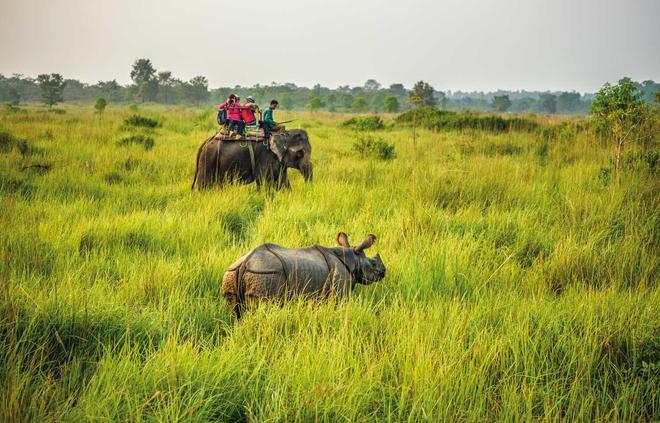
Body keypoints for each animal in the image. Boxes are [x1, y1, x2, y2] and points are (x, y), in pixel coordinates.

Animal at [223, 232, 386, 318]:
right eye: (373, 264)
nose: (384, 271)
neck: (353, 259)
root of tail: (246, 263)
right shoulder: (339, 290)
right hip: (266, 275)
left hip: (232, 273)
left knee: (235, 311)